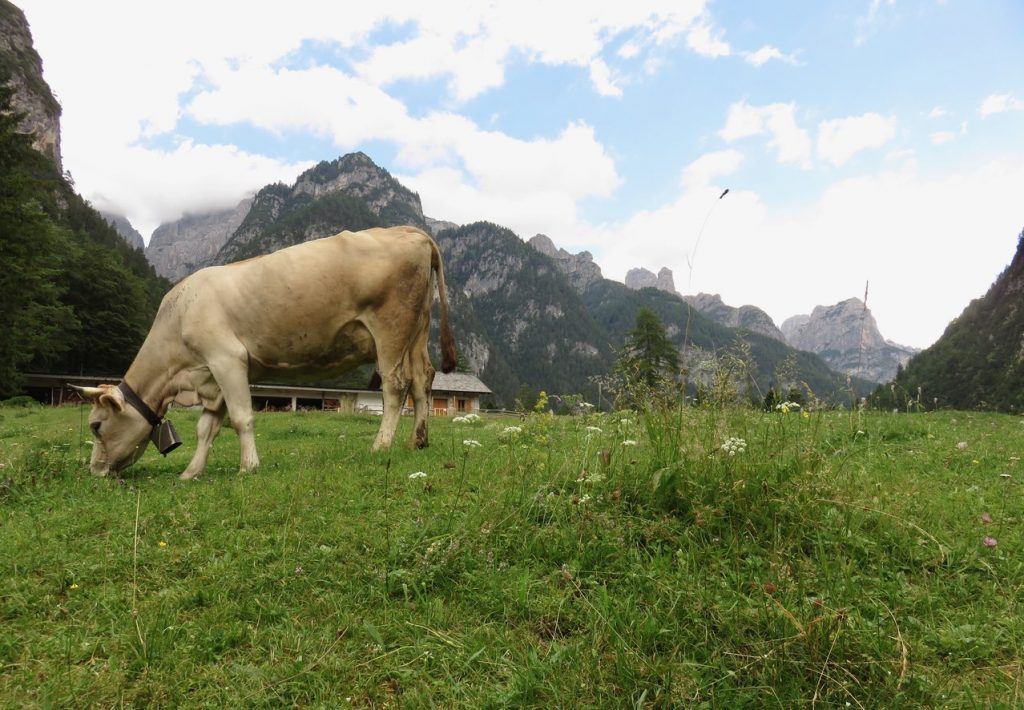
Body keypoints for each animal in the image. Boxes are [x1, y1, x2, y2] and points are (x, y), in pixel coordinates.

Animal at [78, 225, 460, 481]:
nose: (95, 470)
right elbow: (207, 428)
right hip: (417, 331)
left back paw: (381, 445)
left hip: (390, 328)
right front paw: (192, 471)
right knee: (422, 380)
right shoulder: (213, 375)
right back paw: (417, 441)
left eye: (96, 425)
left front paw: (248, 466)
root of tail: (410, 231)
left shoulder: (226, 358)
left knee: (395, 386)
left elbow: (241, 418)